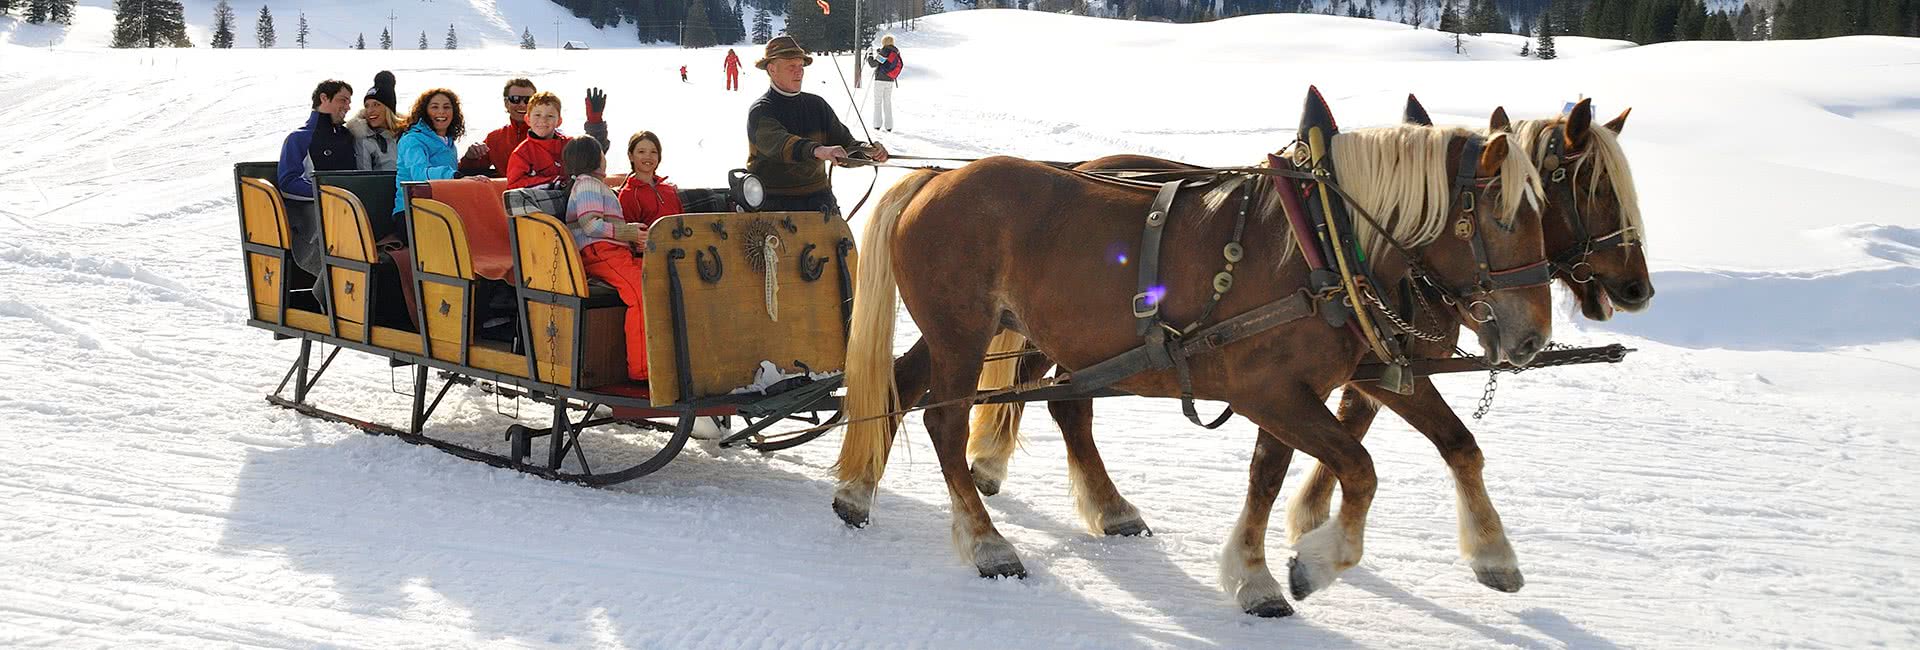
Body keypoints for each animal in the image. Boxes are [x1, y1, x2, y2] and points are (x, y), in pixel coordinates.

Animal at [967, 98, 1658, 605]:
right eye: (1594, 192)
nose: (1639, 289)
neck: (1341, 245)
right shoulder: (1326, 376)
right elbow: (1350, 455)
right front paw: (1312, 546)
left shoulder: (1371, 367)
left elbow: (1442, 445)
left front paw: (1491, 554)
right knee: (1041, 395)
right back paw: (1004, 474)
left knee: (1058, 400)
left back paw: (1081, 498)